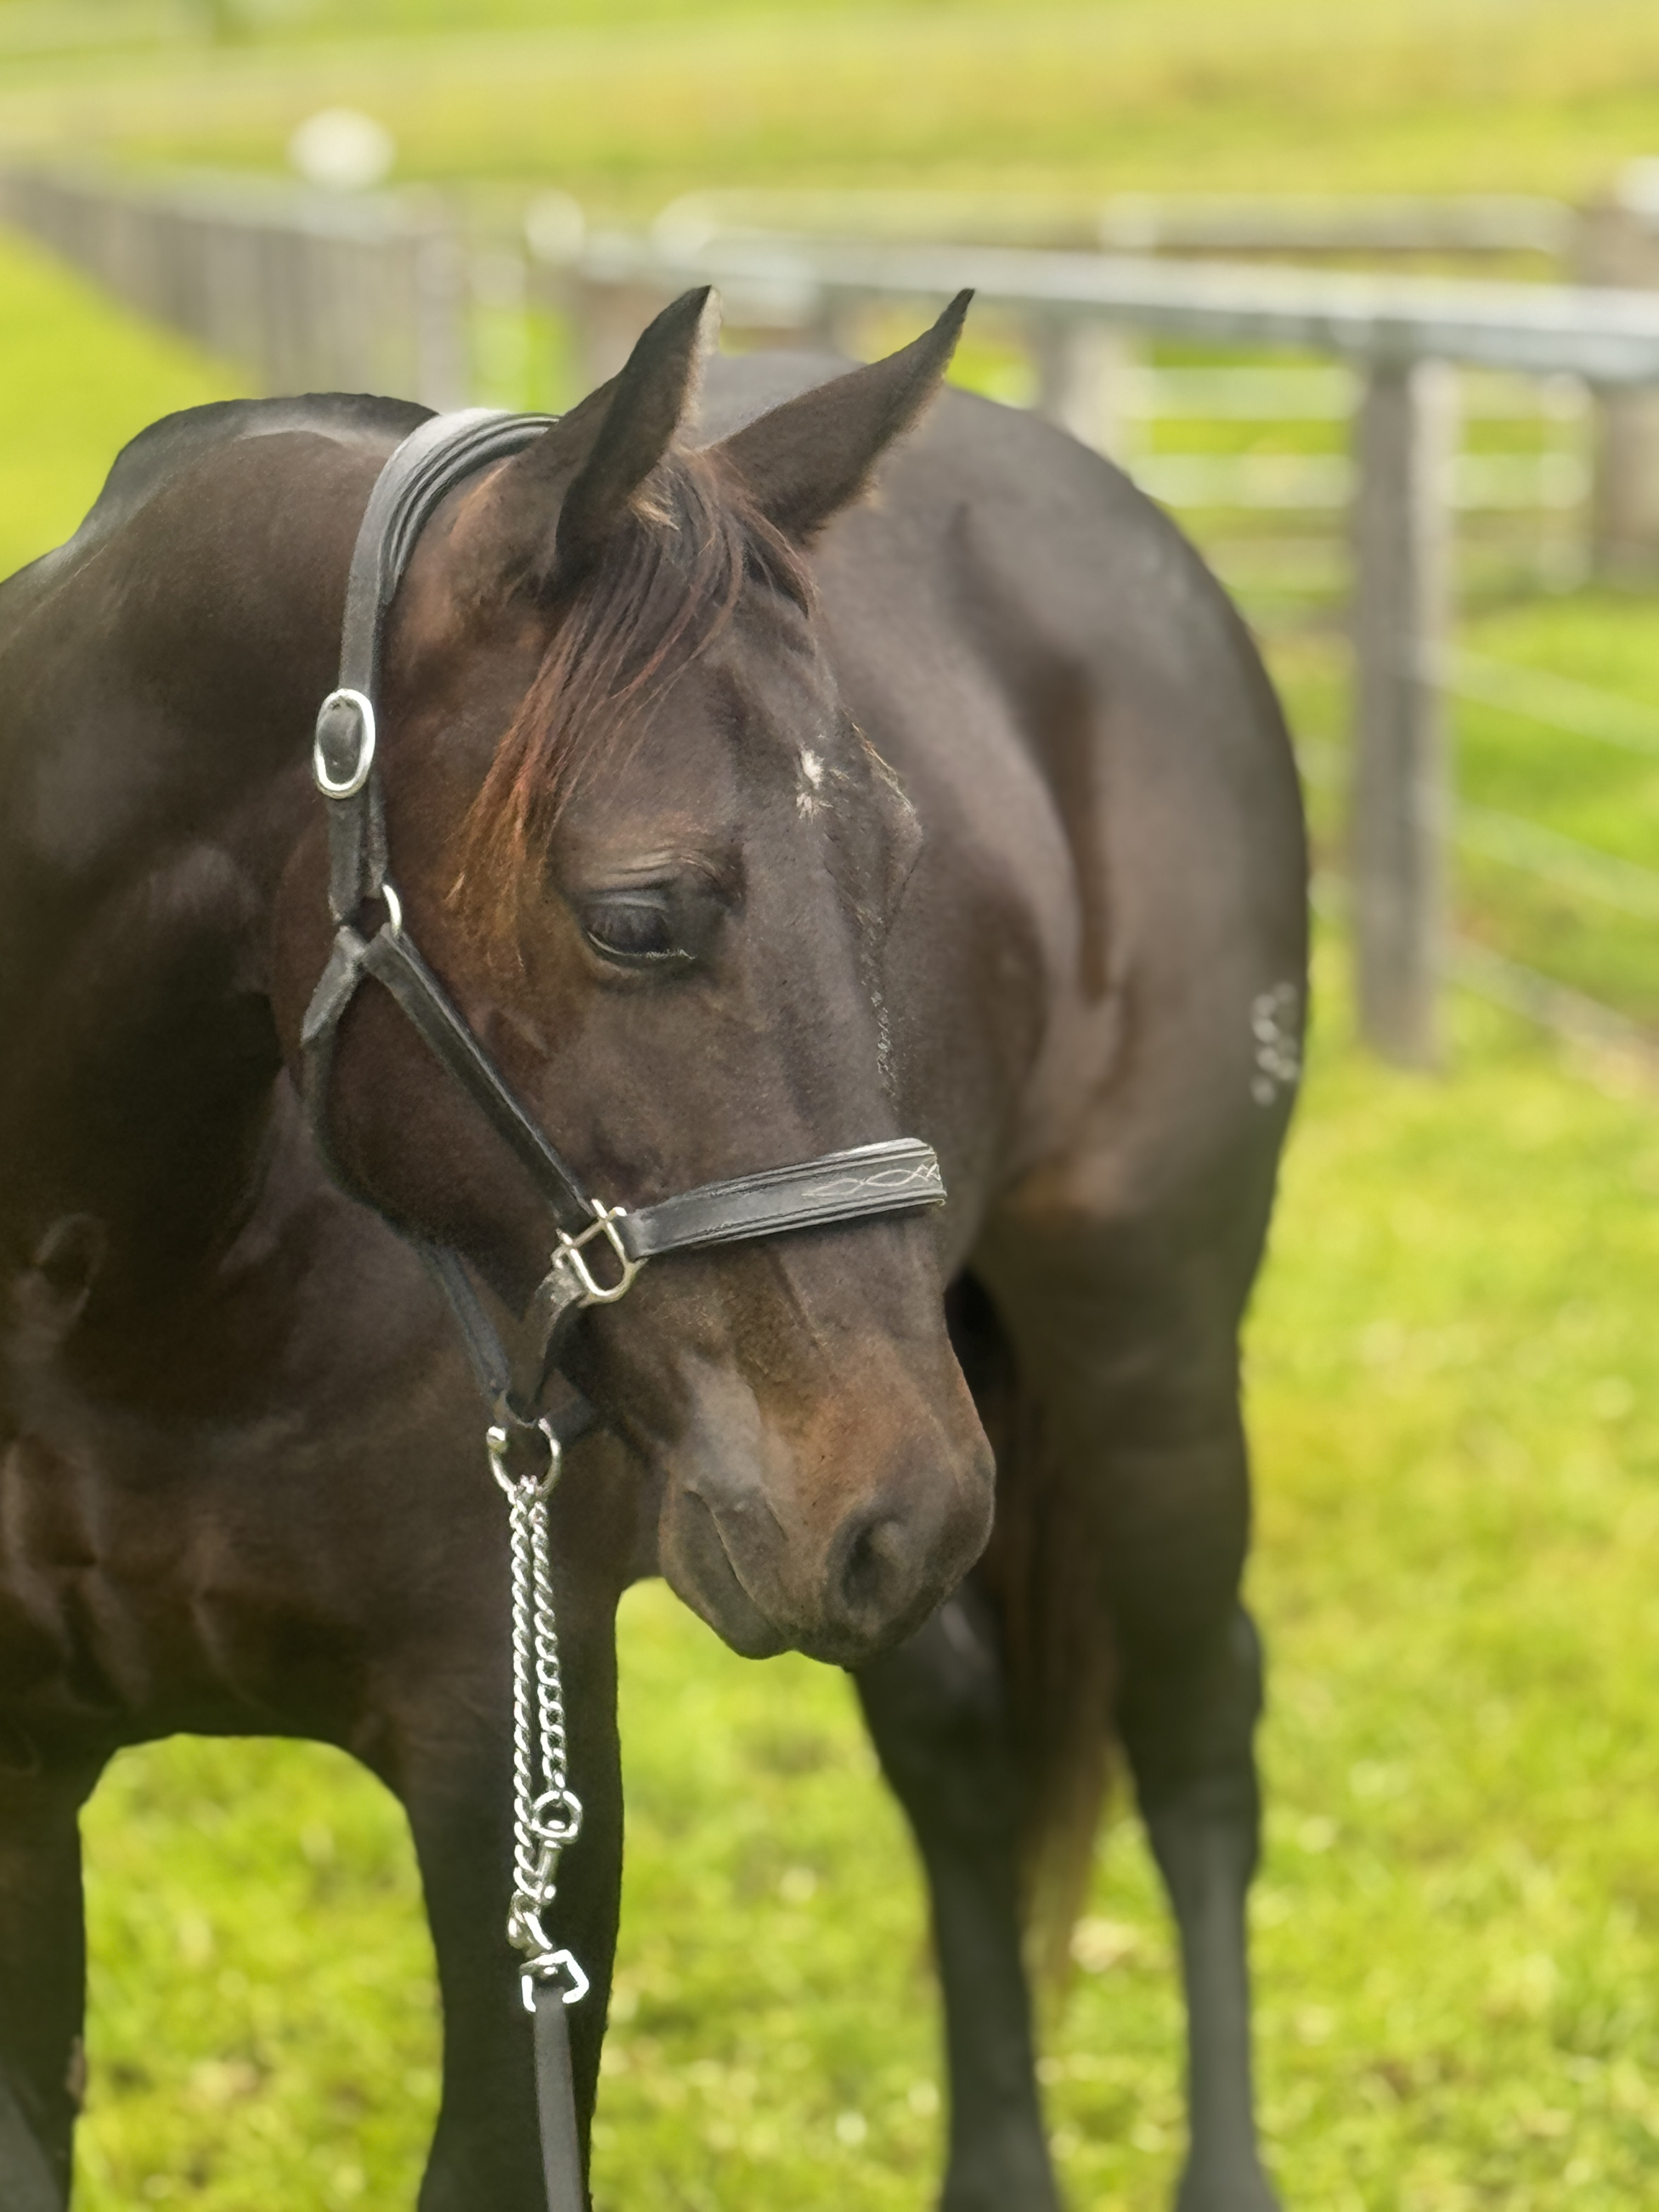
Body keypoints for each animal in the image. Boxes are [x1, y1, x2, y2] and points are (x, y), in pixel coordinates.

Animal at [0, 284, 1306, 2210]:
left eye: (897, 861)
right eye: (638, 915)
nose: (906, 1497)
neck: (130, 1312)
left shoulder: (516, 1778)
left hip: (1139, 1363)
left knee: (1197, 1734)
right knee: (965, 1751)